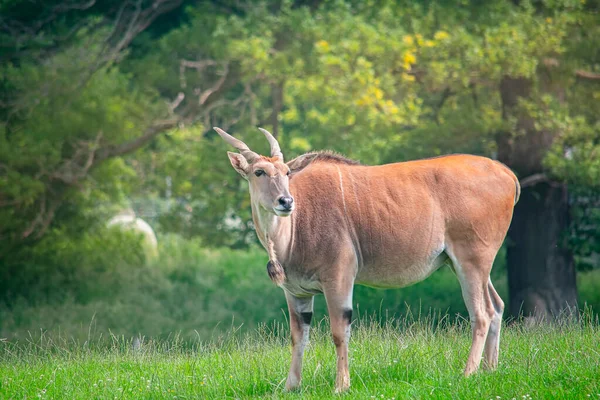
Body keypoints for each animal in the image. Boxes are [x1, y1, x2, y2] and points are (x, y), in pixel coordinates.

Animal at [216, 126, 520, 392]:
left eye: (287, 172)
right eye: (259, 172)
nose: (286, 202)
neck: (294, 230)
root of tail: (507, 173)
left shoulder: (339, 277)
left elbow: (339, 332)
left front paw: (341, 385)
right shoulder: (296, 292)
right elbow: (298, 336)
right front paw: (291, 386)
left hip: (472, 261)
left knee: (482, 314)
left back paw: (468, 373)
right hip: (466, 265)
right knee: (497, 306)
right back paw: (489, 370)